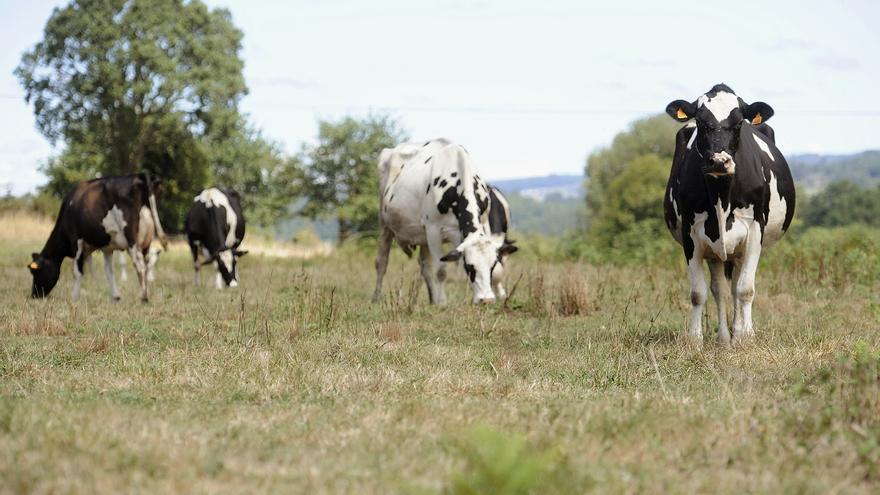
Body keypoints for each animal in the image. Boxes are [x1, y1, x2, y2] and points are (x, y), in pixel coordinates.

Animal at [27, 173, 168, 302]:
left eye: (35, 272)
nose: (34, 295)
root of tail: (139, 175)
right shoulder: (107, 248)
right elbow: (109, 271)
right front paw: (115, 296)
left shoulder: (77, 242)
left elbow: (77, 272)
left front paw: (74, 297)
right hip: (146, 242)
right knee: (146, 263)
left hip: (131, 240)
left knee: (140, 265)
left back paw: (143, 296)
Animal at [372, 138, 516, 304]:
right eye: (469, 267)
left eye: (491, 265)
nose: (485, 300)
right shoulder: (433, 230)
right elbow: (440, 271)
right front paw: (442, 302)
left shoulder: (483, 223)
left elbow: (498, 270)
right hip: (384, 224)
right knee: (382, 262)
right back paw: (376, 298)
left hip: (422, 236)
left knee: (425, 266)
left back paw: (432, 299)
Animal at [664, 84, 796, 344]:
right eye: (701, 122)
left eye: (738, 124)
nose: (719, 161)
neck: (721, 197)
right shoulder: (691, 234)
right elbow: (698, 293)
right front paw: (695, 340)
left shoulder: (755, 231)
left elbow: (745, 289)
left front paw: (746, 337)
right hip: (717, 252)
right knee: (721, 290)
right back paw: (726, 337)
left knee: (736, 287)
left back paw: (740, 332)